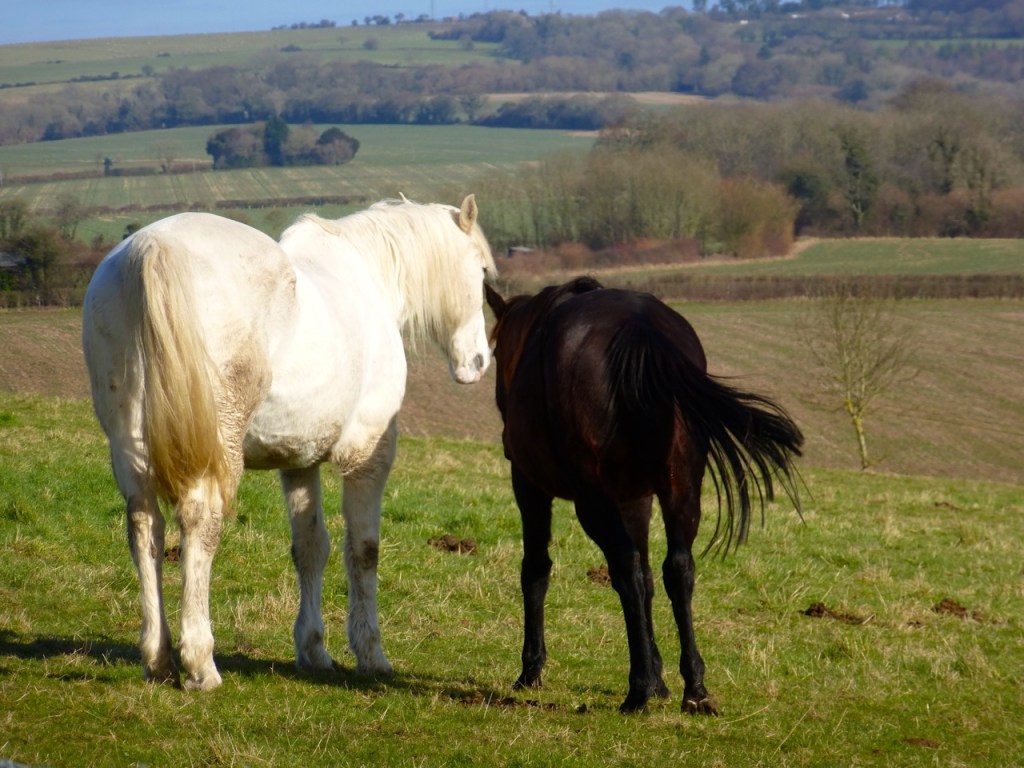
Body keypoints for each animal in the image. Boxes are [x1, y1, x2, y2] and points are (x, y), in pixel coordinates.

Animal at [82, 195, 496, 690]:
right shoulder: (368, 457)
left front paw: (313, 649)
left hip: (130, 448)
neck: (367, 278)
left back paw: (158, 658)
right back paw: (200, 663)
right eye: (480, 270)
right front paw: (371, 654)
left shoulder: (300, 462)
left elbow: (310, 547)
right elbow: (364, 551)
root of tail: (151, 247)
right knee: (199, 524)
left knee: (145, 526)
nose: (479, 361)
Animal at [485, 276, 803, 714]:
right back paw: (694, 687)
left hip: (592, 501)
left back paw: (637, 690)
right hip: (681, 490)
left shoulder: (530, 485)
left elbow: (536, 569)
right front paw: (661, 678)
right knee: (677, 570)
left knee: (625, 571)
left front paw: (530, 671)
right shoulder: (636, 499)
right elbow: (652, 577)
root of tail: (640, 329)